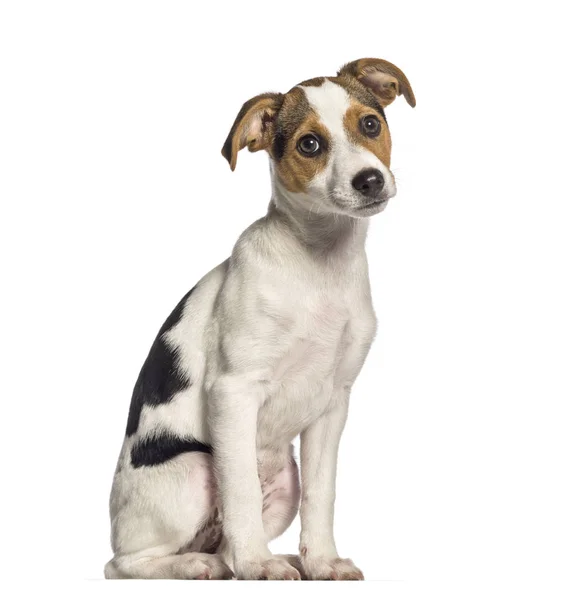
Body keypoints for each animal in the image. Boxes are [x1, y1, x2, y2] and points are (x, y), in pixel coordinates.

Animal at [104, 57, 412, 580]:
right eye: (309, 144)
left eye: (371, 125)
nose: (370, 180)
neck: (318, 264)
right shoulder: (234, 390)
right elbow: (241, 492)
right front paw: (257, 566)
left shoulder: (333, 404)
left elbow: (322, 495)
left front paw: (321, 561)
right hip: (194, 469)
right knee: (125, 563)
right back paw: (200, 565)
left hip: (284, 480)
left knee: (223, 544)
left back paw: (272, 557)